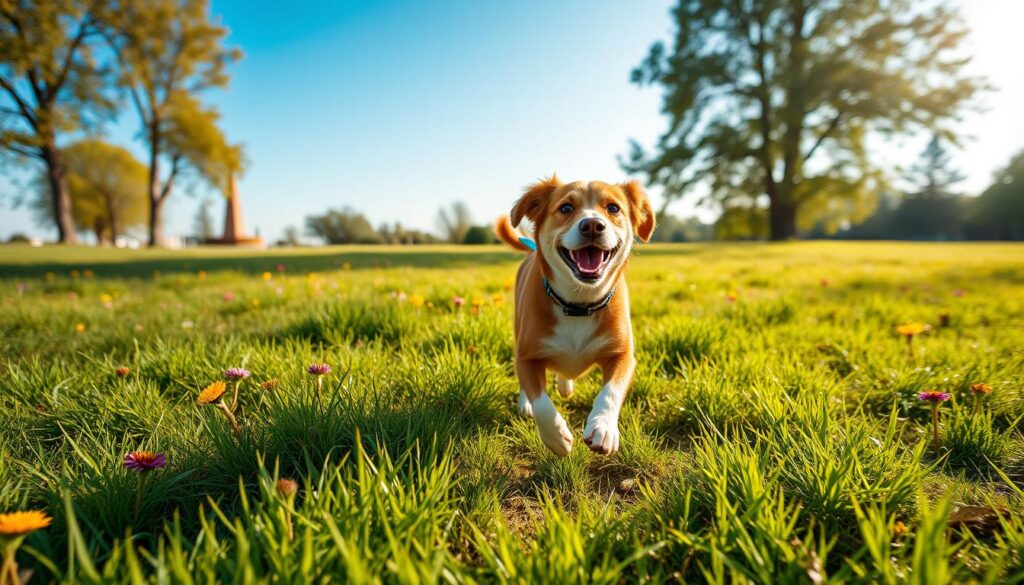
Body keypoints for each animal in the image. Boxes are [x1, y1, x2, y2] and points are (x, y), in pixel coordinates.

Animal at [495, 174, 655, 456]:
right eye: (566, 207)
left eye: (613, 208)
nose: (592, 225)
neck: (578, 303)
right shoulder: (527, 355)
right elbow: (540, 400)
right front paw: (556, 437)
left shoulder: (623, 355)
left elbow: (611, 391)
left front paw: (603, 426)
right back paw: (526, 403)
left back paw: (565, 385)